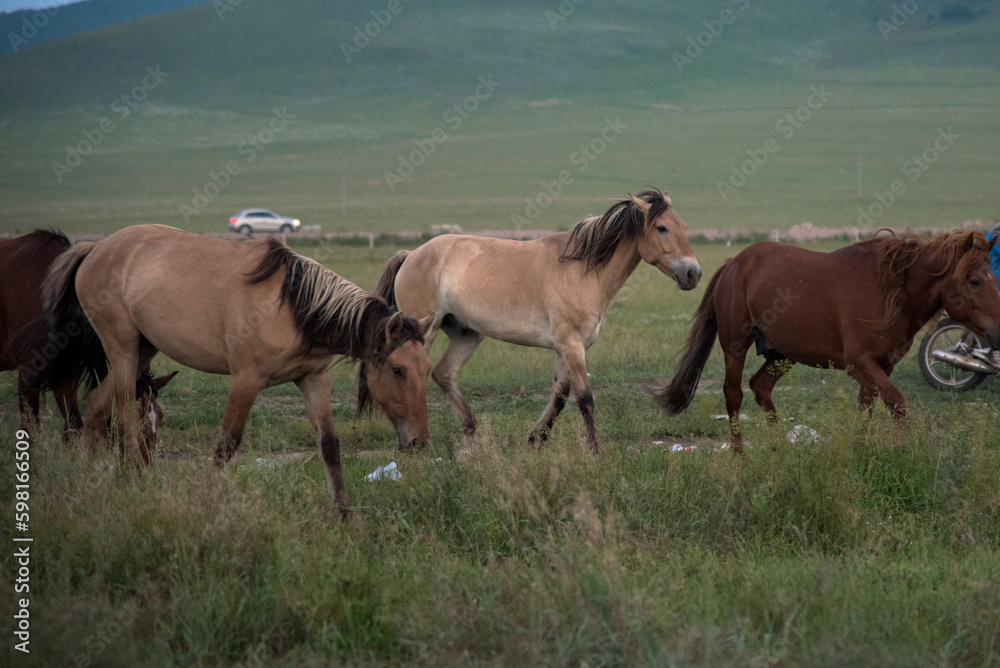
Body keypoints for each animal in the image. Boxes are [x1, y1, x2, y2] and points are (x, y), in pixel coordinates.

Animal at [1, 230, 173, 444]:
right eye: (133, 418)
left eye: (160, 418)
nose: (146, 454)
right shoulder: (29, 369)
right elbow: (29, 428)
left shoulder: (67, 371)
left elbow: (73, 422)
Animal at [376, 187, 704, 454]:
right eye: (662, 228)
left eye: (684, 227)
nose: (693, 273)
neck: (582, 271)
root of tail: (411, 254)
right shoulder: (571, 346)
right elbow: (585, 398)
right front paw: (595, 449)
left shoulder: (566, 349)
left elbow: (560, 396)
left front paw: (536, 438)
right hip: (425, 333)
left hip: (465, 334)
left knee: (444, 374)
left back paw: (473, 434)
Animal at [656, 227, 1000, 452]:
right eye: (975, 281)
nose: (997, 332)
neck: (891, 290)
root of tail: (734, 263)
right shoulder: (859, 364)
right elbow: (897, 405)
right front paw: (899, 451)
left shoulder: (880, 367)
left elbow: (866, 408)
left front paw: (861, 451)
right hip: (735, 347)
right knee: (734, 395)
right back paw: (740, 455)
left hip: (783, 353)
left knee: (761, 387)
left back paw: (781, 446)